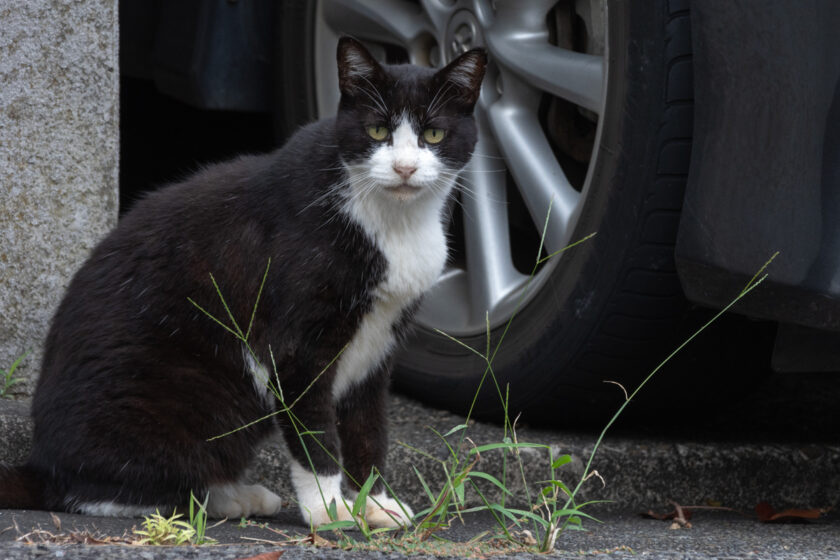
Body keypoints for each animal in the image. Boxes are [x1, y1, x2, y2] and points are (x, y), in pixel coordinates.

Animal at [1, 37, 486, 528]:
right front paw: (327, 510)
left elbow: (368, 428)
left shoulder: (379, 343)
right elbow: (315, 434)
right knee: (108, 490)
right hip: (201, 395)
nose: (405, 168)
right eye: (376, 131)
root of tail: (42, 464)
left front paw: (376, 502)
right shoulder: (297, 348)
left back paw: (238, 497)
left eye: (433, 135)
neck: (395, 223)